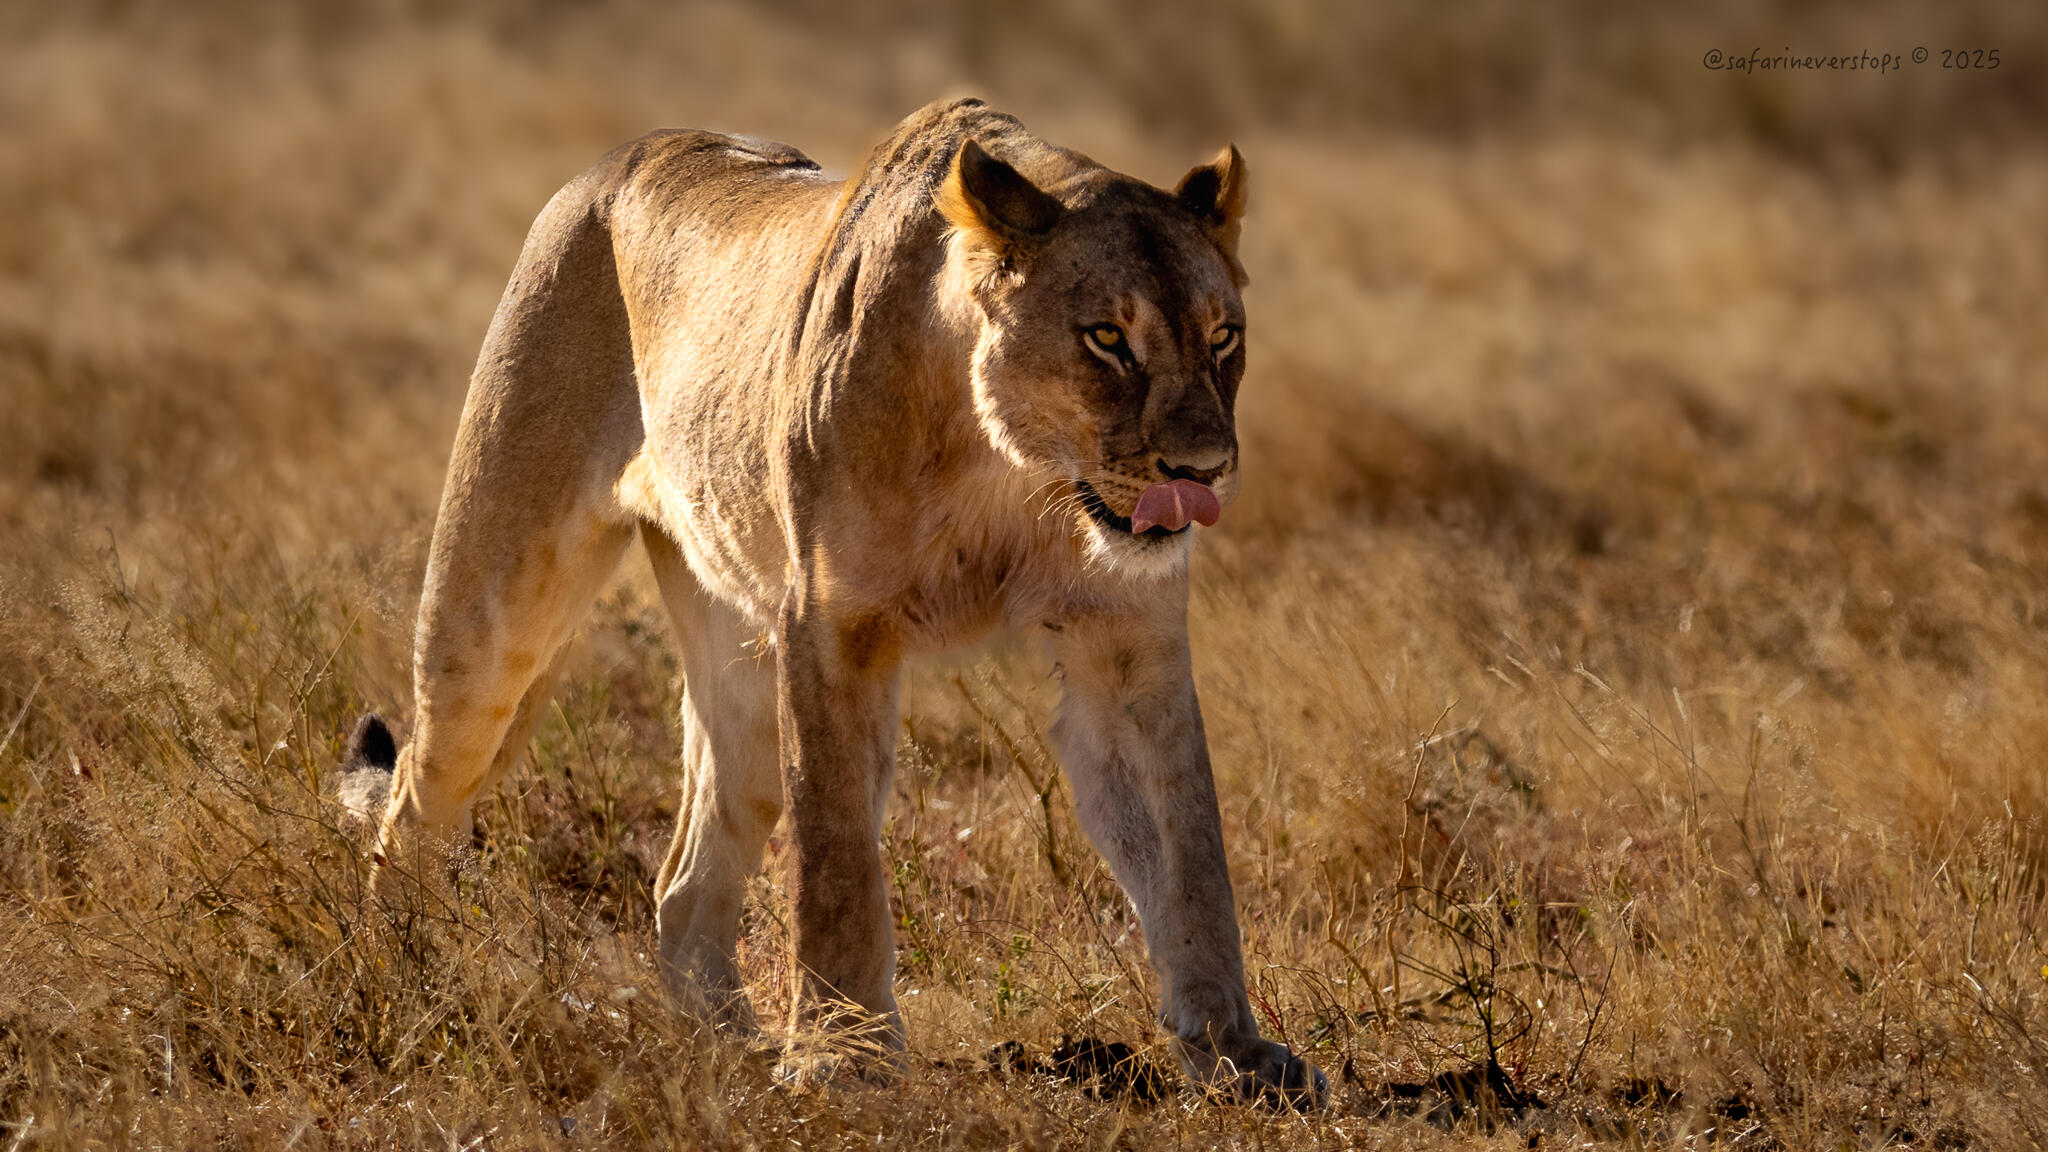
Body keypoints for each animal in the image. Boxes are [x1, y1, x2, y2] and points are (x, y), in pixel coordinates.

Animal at [343, 97, 1324, 1105]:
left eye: (1223, 337)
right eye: (1107, 338)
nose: (1203, 471)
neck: (1009, 469)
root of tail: (616, 160)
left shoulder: (1126, 639)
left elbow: (1190, 849)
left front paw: (1237, 1051)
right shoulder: (829, 624)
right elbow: (838, 853)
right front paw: (841, 1056)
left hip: (737, 663)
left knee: (683, 883)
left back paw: (728, 1046)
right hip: (495, 605)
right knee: (417, 794)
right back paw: (412, 978)